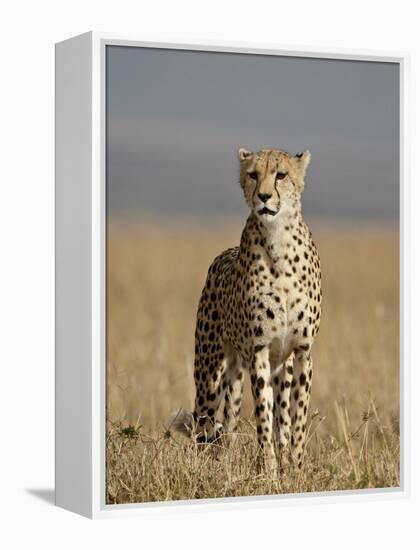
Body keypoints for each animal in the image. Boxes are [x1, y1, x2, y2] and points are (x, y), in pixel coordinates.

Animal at [172, 148, 324, 474]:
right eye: (253, 174)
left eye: (281, 175)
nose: (264, 197)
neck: (279, 242)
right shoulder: (259, 350)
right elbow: (263, 419)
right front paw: (268, 472)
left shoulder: (302, 351)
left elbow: (296, 420)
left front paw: (294, 470)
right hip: (210, 370)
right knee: (205, 425)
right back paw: (209, 469)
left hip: (271, 370)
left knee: (265, 420)